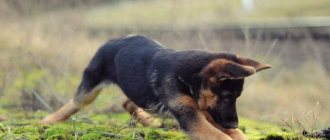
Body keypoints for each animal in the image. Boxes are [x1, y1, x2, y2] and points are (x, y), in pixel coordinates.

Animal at [42, 34, 270, 139]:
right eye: (227, 96)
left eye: (235, 97)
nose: (233, 123)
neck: (189, 77)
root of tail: (113, 39)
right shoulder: (192, 116)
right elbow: (220, 135)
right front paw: (229, 132)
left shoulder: (203, 112)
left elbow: (235, 134)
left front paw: (236, 132)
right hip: (90, 86)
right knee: (74, 103)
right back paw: (48, 120)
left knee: (127, 102)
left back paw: (149, 121)